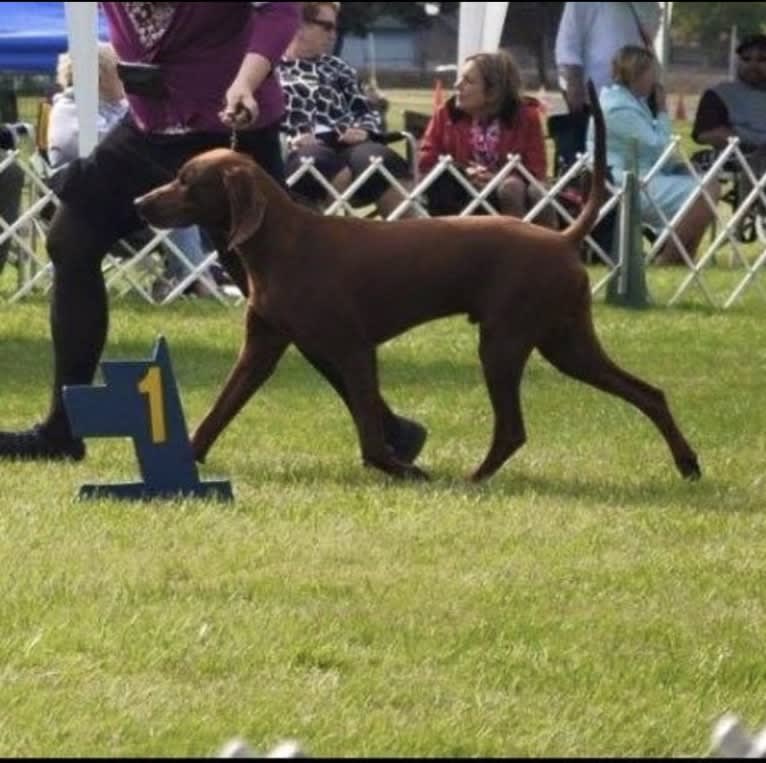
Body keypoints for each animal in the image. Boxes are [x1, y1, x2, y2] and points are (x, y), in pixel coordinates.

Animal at [134, 83, 704, 484]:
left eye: (187, 182)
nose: (140, 202)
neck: (281, 245)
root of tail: (564, 237)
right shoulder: (263, 348)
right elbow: (215, 414)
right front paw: (187, 461)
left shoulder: (352, 349)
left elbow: (369, 431)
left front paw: (401, 468)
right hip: (564, 343)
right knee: (648, 393)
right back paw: (687, 463)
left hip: (505, 342)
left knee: (514, 429)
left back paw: (474, 479)